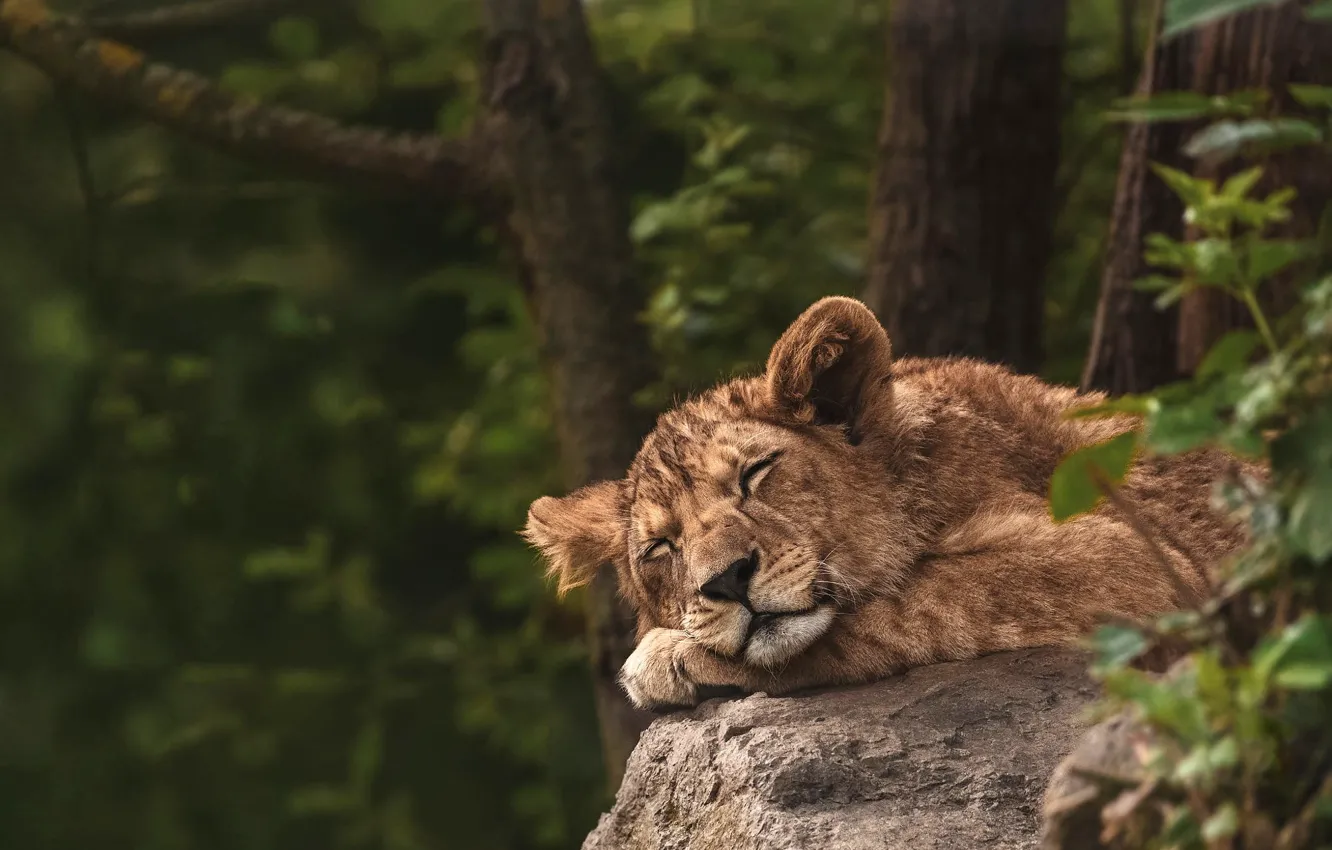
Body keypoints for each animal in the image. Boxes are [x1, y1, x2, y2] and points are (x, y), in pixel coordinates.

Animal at [523, 297, 1252, 711]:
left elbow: (924, 596)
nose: (727, 580)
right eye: (660, 547)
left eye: (756, 474)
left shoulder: (1145, 560)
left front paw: (668, 656)